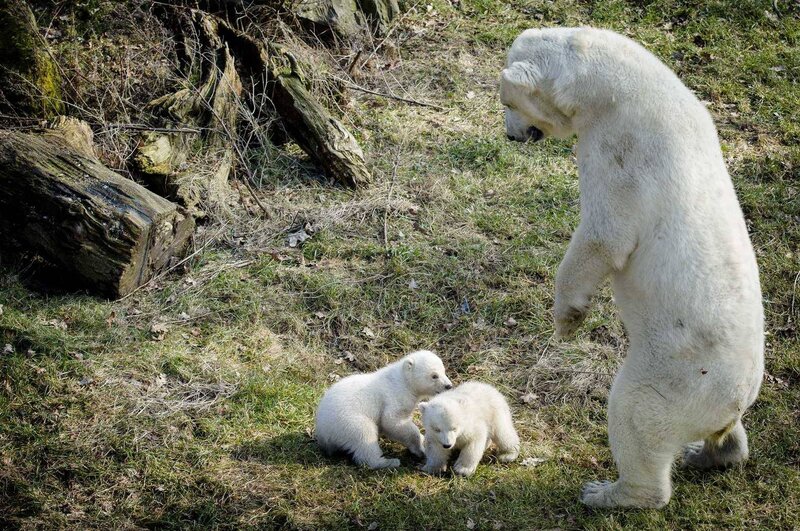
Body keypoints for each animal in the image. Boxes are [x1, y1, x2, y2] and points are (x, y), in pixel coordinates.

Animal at [315, 349, 453, 469]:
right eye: (434, 375)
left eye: (444, 371)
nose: (449, 385)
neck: (402, 380)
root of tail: (323, 433)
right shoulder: (395, 396)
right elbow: (391, 421)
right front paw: (419, 448)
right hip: (348, 421)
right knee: (364, 436)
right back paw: (388, 462)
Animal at [500, 27, 764, 508]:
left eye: (507, 102)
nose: (512, 136)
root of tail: (735, 399)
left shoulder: (622, 150)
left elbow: (606, 235)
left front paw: (566, 318)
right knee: (721, 434)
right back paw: (712, 453)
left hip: (679, 377)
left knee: (635, 413)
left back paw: (608, 493)